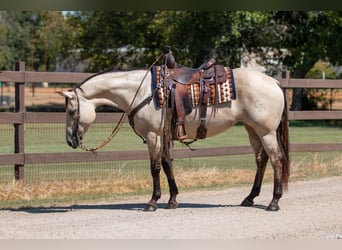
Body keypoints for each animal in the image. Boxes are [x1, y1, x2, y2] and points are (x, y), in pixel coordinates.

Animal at [58, 53, 288, 212]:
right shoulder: (164, 135)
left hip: (266, 131)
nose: (70, 140)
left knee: (276, 159)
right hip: (252, 129)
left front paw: (152, 201)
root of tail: (275, 82)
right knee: (261, 159)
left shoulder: (153, 135)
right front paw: (172, 199)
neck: (142, 91)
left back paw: (274, 202)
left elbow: (155, 167)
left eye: (71, 111)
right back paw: (250, 198)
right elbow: (168, 164)